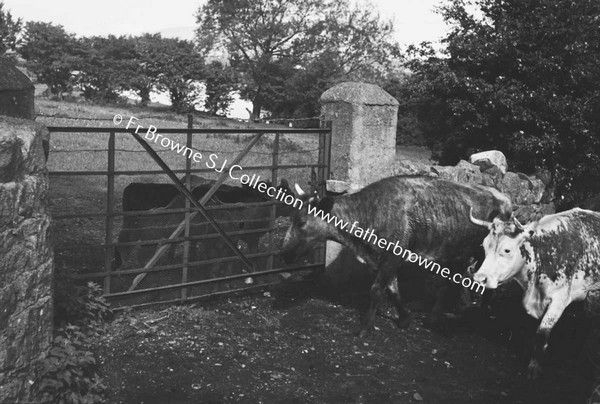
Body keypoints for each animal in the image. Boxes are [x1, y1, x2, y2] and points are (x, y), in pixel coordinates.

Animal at [278, 175, 510, 336]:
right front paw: (405, 318)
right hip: (458, 253)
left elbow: (376, 290)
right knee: (454, 281)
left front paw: (365, 328)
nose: (284, 253)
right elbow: (393, 290)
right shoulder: (382, 259)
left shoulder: (393, 256)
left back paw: (482, 310)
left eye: (301, 222)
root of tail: (505, 199)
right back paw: (447, 312)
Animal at [468, 208, 600, 378]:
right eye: (484, 246)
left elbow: (542, 333)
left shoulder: (560, 299)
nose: (480, 278)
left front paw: (534, 367)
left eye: (507, 250)